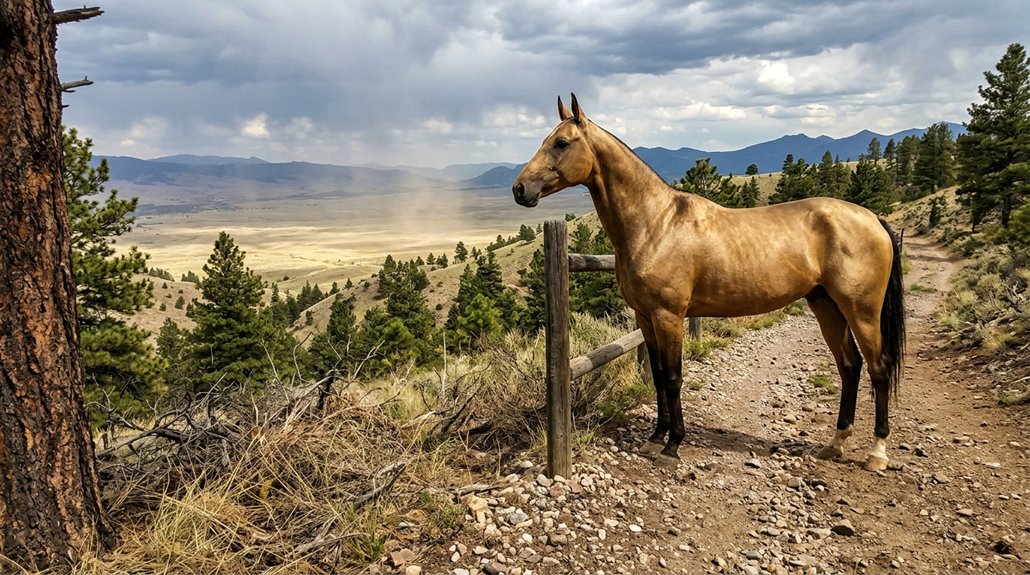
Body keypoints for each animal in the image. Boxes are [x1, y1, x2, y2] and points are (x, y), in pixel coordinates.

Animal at [512, 94, 905, 471]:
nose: (519, 189)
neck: (656, 223)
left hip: (861, 311)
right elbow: (658, 376)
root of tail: (873, 218)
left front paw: (672, 447)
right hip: (825, 305)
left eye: (561, 143)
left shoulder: (669, 316)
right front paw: (655, 438)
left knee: (879, 367)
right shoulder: (645, 317)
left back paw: (877, 453)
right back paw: (835, 444)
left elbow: (673, 377)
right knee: (849, 366)